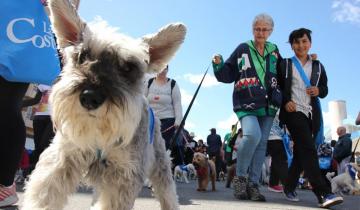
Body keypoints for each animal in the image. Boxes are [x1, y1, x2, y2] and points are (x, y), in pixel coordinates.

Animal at [23, 0, 186, 210]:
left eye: (128, 68)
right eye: (83, 56)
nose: (89, 97)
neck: (99, 133)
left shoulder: (124, 177)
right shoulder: (63, 159)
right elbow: (44, 194)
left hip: (160, 166)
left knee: (168, 192)